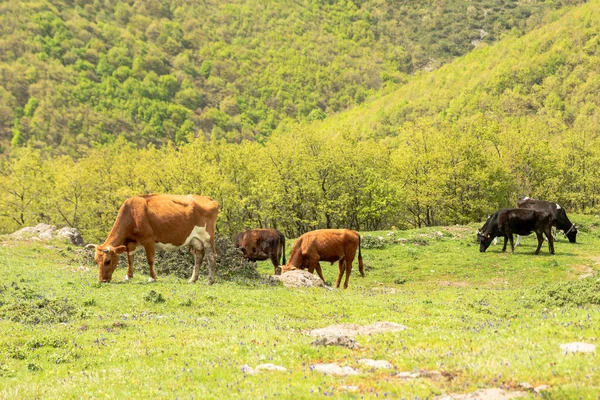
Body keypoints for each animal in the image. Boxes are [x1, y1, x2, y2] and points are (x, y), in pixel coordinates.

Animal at [85, 195, 219, 284]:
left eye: (107, 261)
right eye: (96, 261)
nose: (102, 280)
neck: (131, 214)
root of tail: (209, 199)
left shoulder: (149, 240)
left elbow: (150, 260)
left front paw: (152, 278)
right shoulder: (131, 243)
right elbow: (130, 260)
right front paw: (128, 276)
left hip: (207, 237)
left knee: (211, 256)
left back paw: (210, 281)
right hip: (195, 240)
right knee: (198, 257)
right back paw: (192, 279)